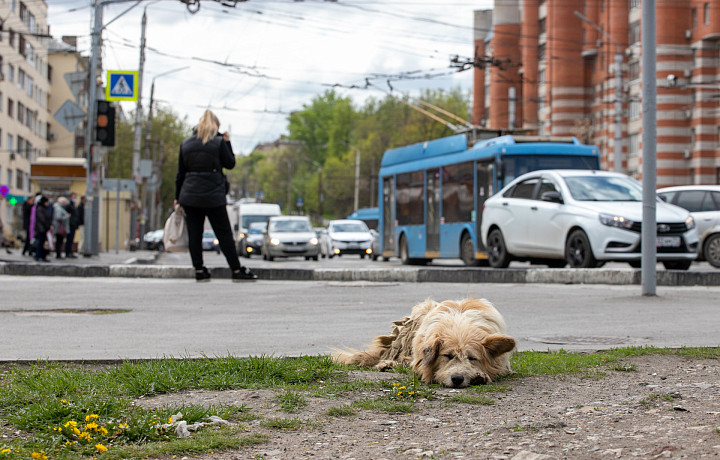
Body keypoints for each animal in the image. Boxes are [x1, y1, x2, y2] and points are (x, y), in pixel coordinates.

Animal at [334, 298, 516, 388]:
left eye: (472, 358)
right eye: (447, 356)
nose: (457, 379)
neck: (460, 326)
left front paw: (479, 376)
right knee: (396, 356)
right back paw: (388, 363)